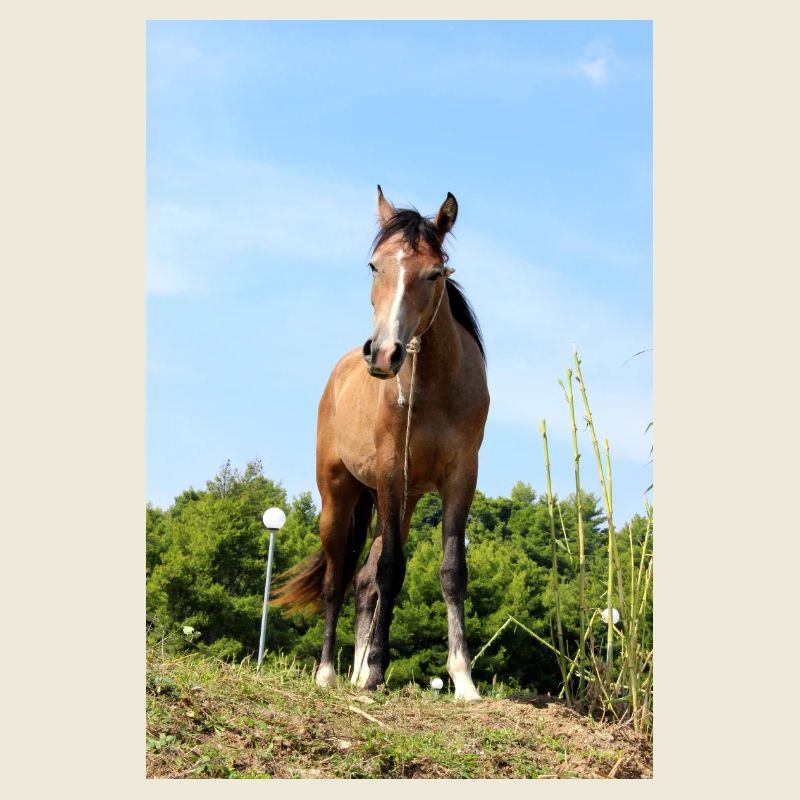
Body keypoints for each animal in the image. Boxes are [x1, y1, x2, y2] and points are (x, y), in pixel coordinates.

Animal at [272, 186, 489, 702]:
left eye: (434, 273)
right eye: (374, 266)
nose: (384, 353)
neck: (433, 386)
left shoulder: (460, 477)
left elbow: (451, 572)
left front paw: (463, 679)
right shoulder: (392, 472)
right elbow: (391, 570)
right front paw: (374, 673)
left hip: (402, 502)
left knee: (363, 581)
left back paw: (353, 670)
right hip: (340, 497)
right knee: (337, 581)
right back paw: (330, 673)